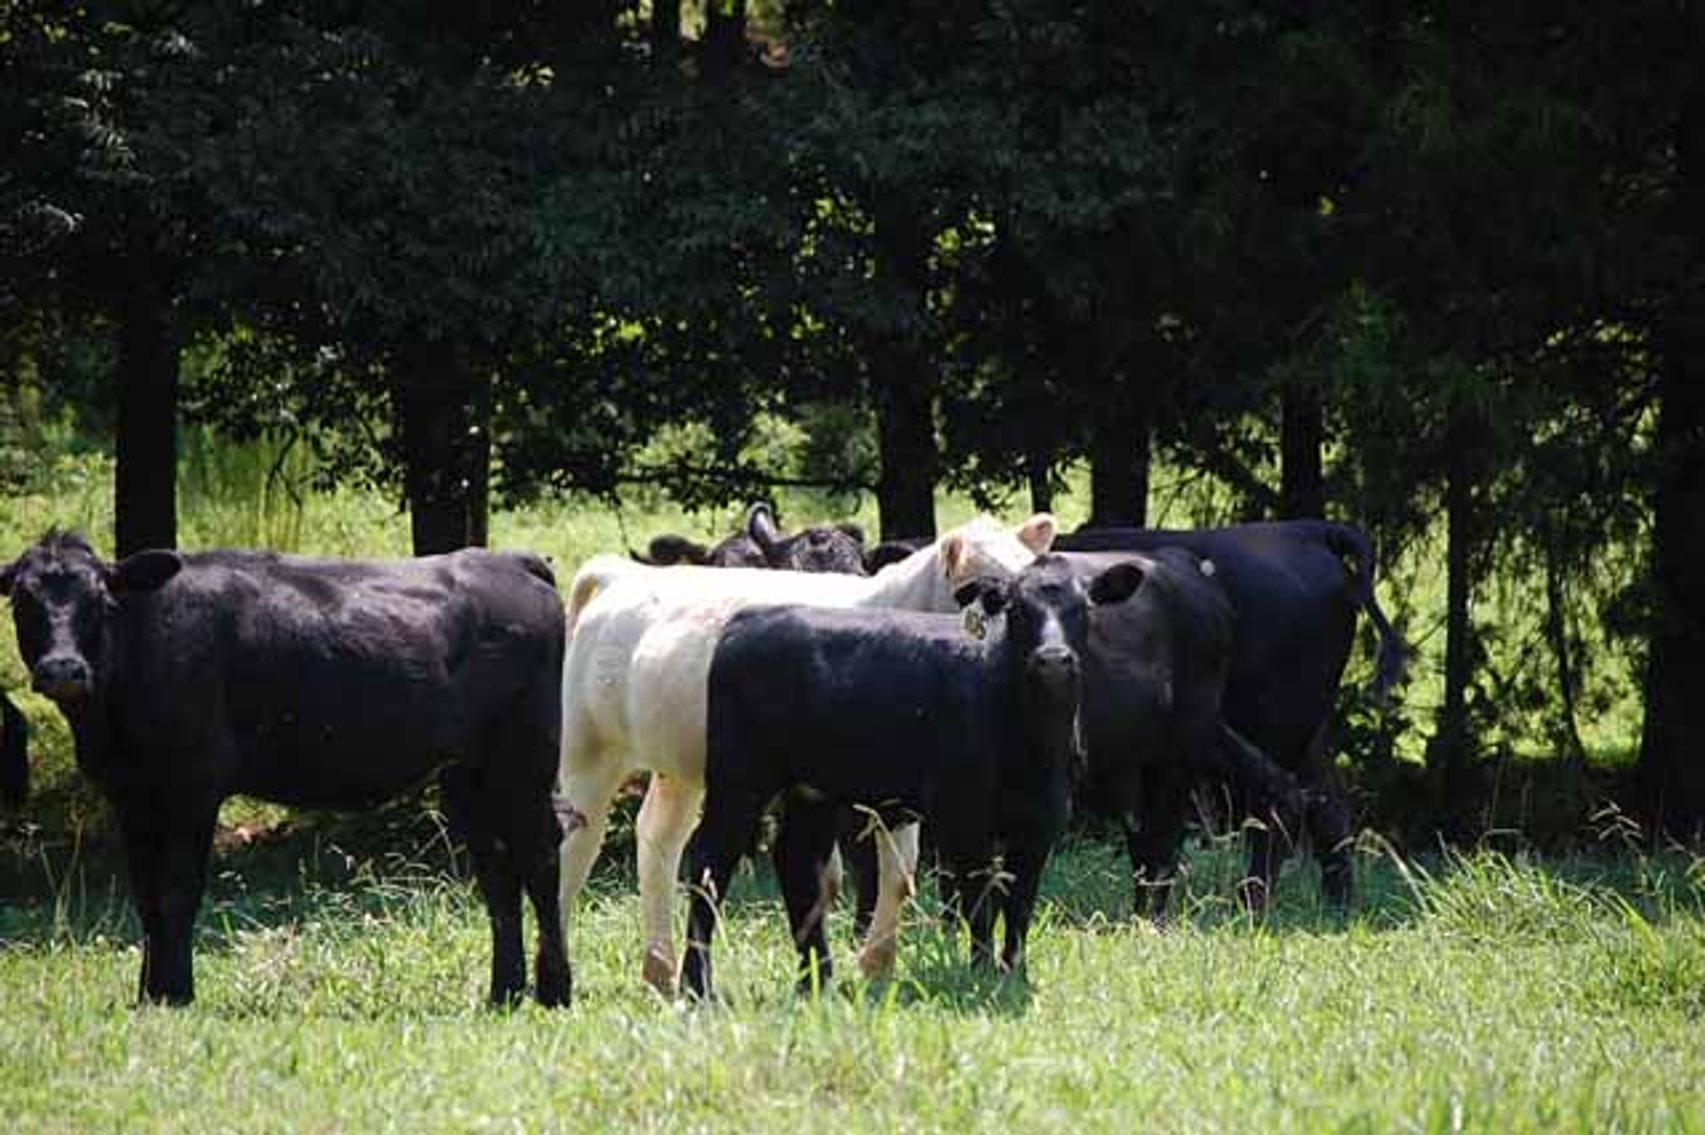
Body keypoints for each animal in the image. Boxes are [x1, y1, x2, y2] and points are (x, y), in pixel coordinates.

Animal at [1, 530, 567, 1007]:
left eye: (100, 601)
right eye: (21, 602)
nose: (63, 669)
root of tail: (510, 560)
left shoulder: (193, 786)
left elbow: (178, 889)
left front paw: (175, 993)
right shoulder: (131, 795)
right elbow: (147, 896)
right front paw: (151, 993)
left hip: (527, 758)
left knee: (540, 857)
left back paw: (554, 988)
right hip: (471, 772)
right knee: (497, 870)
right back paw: (506, 990)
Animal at [555, 513, 1059, 999]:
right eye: (984, 585)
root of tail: (622, 575)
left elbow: (899, 874)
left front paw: (877, 966)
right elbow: (840, 873)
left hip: (680, 768)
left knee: (659, 838)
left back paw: (659, 969)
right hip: (588, 747)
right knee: (578, 841)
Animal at [682, 554, 1148, 1000]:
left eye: (1084, 607)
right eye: (1016, 609)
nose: (1053, 659)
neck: (1030, 738)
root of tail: (747, 621)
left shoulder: (1041, 822)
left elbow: (1019, 905)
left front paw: (1015, 972)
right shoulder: (965, 818)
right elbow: (979, 902)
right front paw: (982, 972)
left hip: (810, 791)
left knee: (797, 864)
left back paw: (817, 981)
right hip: (738, 780)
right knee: (709, 863)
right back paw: (696, 985)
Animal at [1055, 520, 1409, 910]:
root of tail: (1307, 530)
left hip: (1268, 725)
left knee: (1273, 806)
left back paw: (1250, 903)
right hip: (1302, 728)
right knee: (1325, 803)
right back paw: (1337, 905)